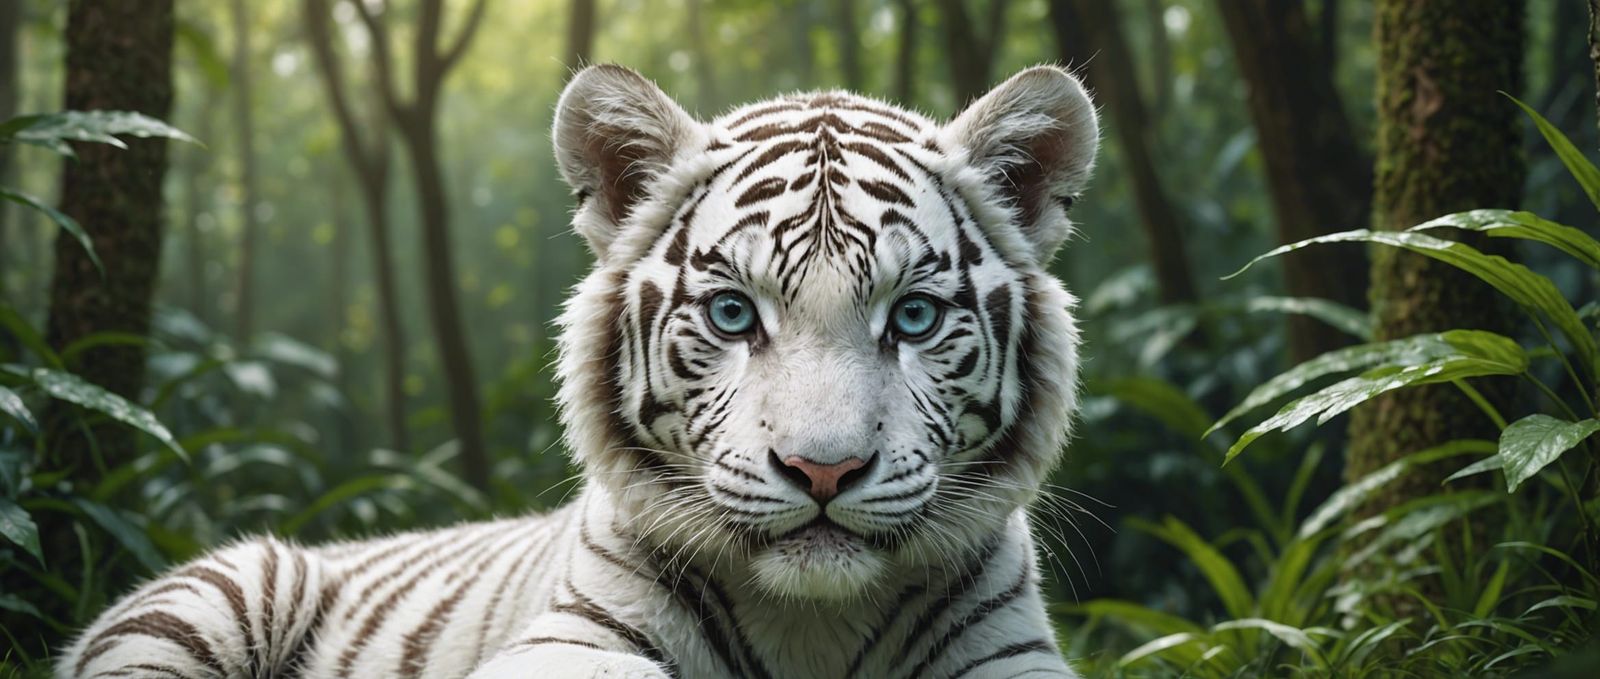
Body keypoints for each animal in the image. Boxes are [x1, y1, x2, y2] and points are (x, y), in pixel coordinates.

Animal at [59, 63, 1100, 679]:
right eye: (733, 313)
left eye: (913, 316)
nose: (824, 471)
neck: (814, 624)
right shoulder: (572, 640)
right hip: (214, 594)